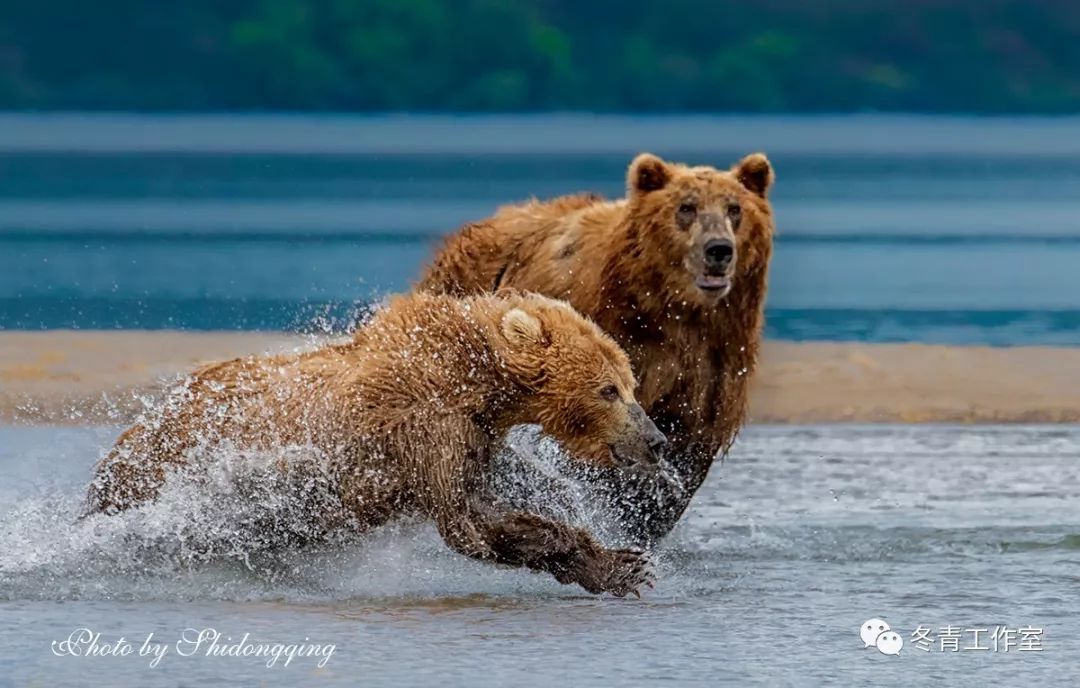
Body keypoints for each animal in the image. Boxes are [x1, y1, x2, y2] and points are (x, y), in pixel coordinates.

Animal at [88, 289, 665, 596]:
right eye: (608, 390)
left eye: (630, 382)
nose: (656, 439)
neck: (476, 380)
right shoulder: (424, 427)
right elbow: (470, 523)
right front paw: (620, 563)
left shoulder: (470, 437)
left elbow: (490, 501)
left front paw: (616, 566)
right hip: (163, 469)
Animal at [414, 153, 777, 544]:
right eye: (687, 207)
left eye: (735, 208)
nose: (719, 249)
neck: (673, 314)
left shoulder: (712, 367)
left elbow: (685, 445)